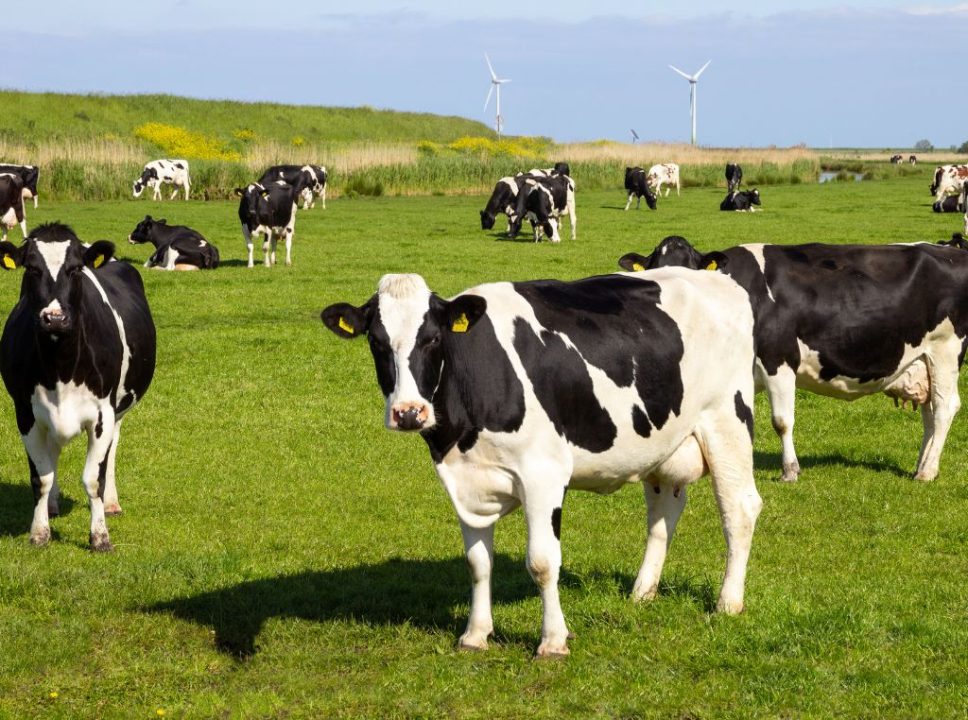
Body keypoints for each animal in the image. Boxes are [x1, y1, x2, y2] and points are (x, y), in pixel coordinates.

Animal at [0, 225, 155, 552]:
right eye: (32, 268)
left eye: (75, 270)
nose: (54, 318)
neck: (61, 366)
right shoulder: (25, 414)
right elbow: (41, 477)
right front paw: (39, 532)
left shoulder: (102, 415)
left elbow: (93, 479)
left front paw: (100, 536)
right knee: (53, 452)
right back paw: (53, 505)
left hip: (117, 410)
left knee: (112, 450)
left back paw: (111, 503)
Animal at [326, 268, 764, 656]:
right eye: (377, 342)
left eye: (433, 339)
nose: (408, 413)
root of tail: (717, 279)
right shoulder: (464, 479)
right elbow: (477, 563)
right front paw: (475, 635)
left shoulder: (543, 475)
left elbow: (542, 561)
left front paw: (553, 641)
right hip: (662, 443)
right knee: (663, 513)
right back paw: (643, 592)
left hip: (727, 419)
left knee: (739, 508)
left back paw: (728, 602)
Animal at [620, 236, 968, 484]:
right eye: (653, 268)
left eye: (688, 270)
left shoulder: (779, 357)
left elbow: (781, 421)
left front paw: (789, 470)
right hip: (923, 359)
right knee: (930, 412)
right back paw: (922, 464)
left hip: (947, 350)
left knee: (945, 407)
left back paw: (926, 472)